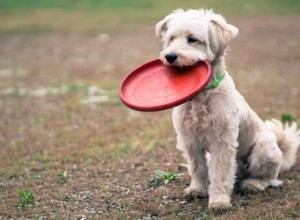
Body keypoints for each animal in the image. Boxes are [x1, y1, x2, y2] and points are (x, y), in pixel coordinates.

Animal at [155, 9, 300, 210]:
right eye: (171, 38)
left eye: (192, 39)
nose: (169, 56)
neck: (202, 97)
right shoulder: (190, 140)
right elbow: (197, 168)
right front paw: (197, 189)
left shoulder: (222, 143)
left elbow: (220, 173)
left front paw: (219, 201)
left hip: (264, 147)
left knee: (269, 179)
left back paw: (253, 184)